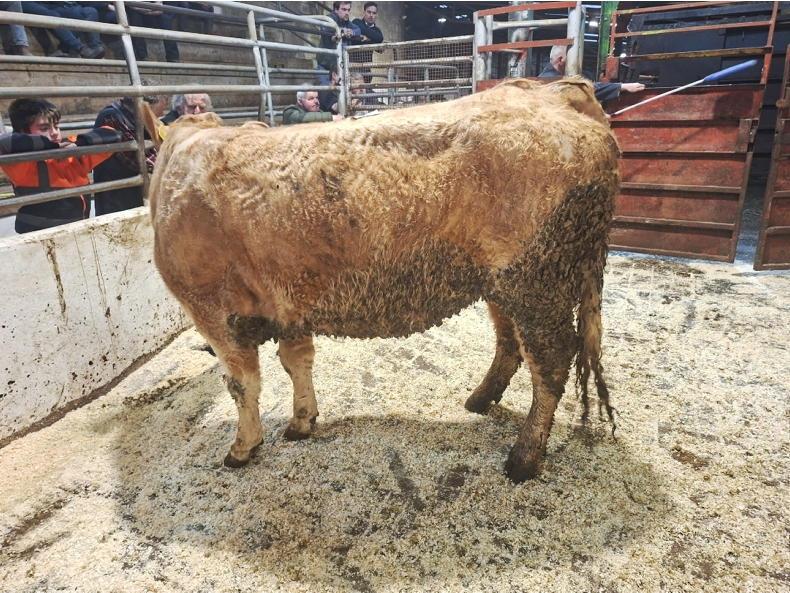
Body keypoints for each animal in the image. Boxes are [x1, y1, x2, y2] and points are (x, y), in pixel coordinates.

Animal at [149, 78, 620, 483]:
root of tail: (551, 93)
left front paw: (242, 447)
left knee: (552, 359)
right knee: (511, 343)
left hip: (537, 280)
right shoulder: (290, 303)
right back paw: (481, 400)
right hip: (504, 283)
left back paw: (523, 458)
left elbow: (241, 383)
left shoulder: (212, 308)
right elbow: (296, 361)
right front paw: (302, 422)